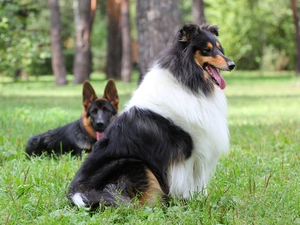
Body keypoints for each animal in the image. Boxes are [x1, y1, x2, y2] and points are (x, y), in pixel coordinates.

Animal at [67, 23, 234, 208]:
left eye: (219, 48)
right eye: (207, 50)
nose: (232, 64)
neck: (187, 81)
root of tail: (78, 193)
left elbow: (198, 182)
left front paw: (200, 200)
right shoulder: (187, 152)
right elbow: (188, 181)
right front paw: (189, 202)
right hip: (135, 164)